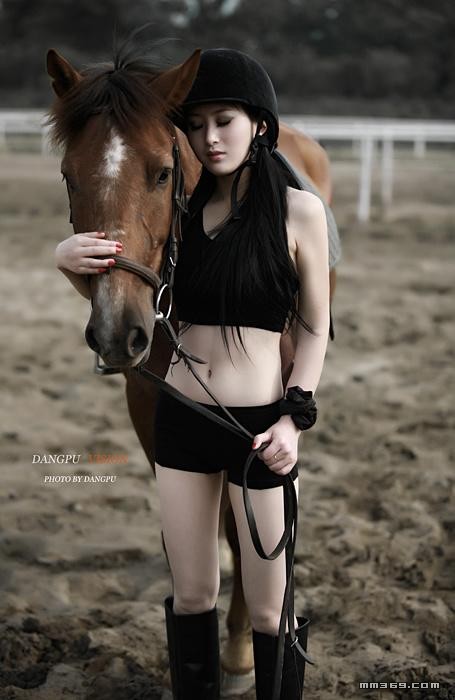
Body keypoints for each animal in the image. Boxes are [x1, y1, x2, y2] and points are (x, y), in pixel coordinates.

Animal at [47, 42, 337, 697]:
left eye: (161, 171)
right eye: (69, 175)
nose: (116, 331)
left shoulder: (263, 433)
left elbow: (249, 532)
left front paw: (238, 654)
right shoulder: (154, 413)